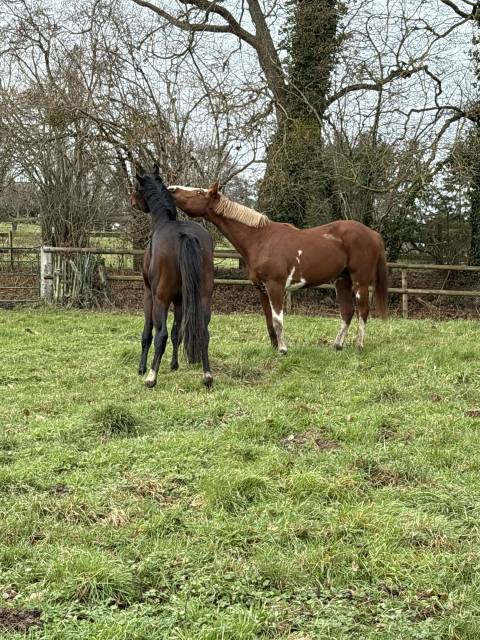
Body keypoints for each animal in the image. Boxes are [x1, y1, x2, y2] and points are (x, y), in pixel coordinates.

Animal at [131, 167, 214, 387]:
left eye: (137, 187)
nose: (132, 200)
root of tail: (185, 236)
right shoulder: (179, 300)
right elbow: (178, 333)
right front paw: (174, 365)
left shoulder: (149, 294)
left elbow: (148, 333)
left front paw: (142, 368)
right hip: (203, 298)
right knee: (203, 332)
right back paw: (207, 375)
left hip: (161, 299)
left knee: (161, 335)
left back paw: (152, 377)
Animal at [167, 182, 388, 354]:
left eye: (198, 192)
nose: (171, 189)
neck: (260, 239)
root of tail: (372, 234)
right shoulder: (261, 289)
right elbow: (268, 320)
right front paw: (274, 347)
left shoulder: (275, 286)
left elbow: (278, 319)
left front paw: (282, 349)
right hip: (342, 280)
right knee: (347, 312)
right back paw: (337, 345)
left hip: (360, 281)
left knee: (362, 311)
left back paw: (359, 345)